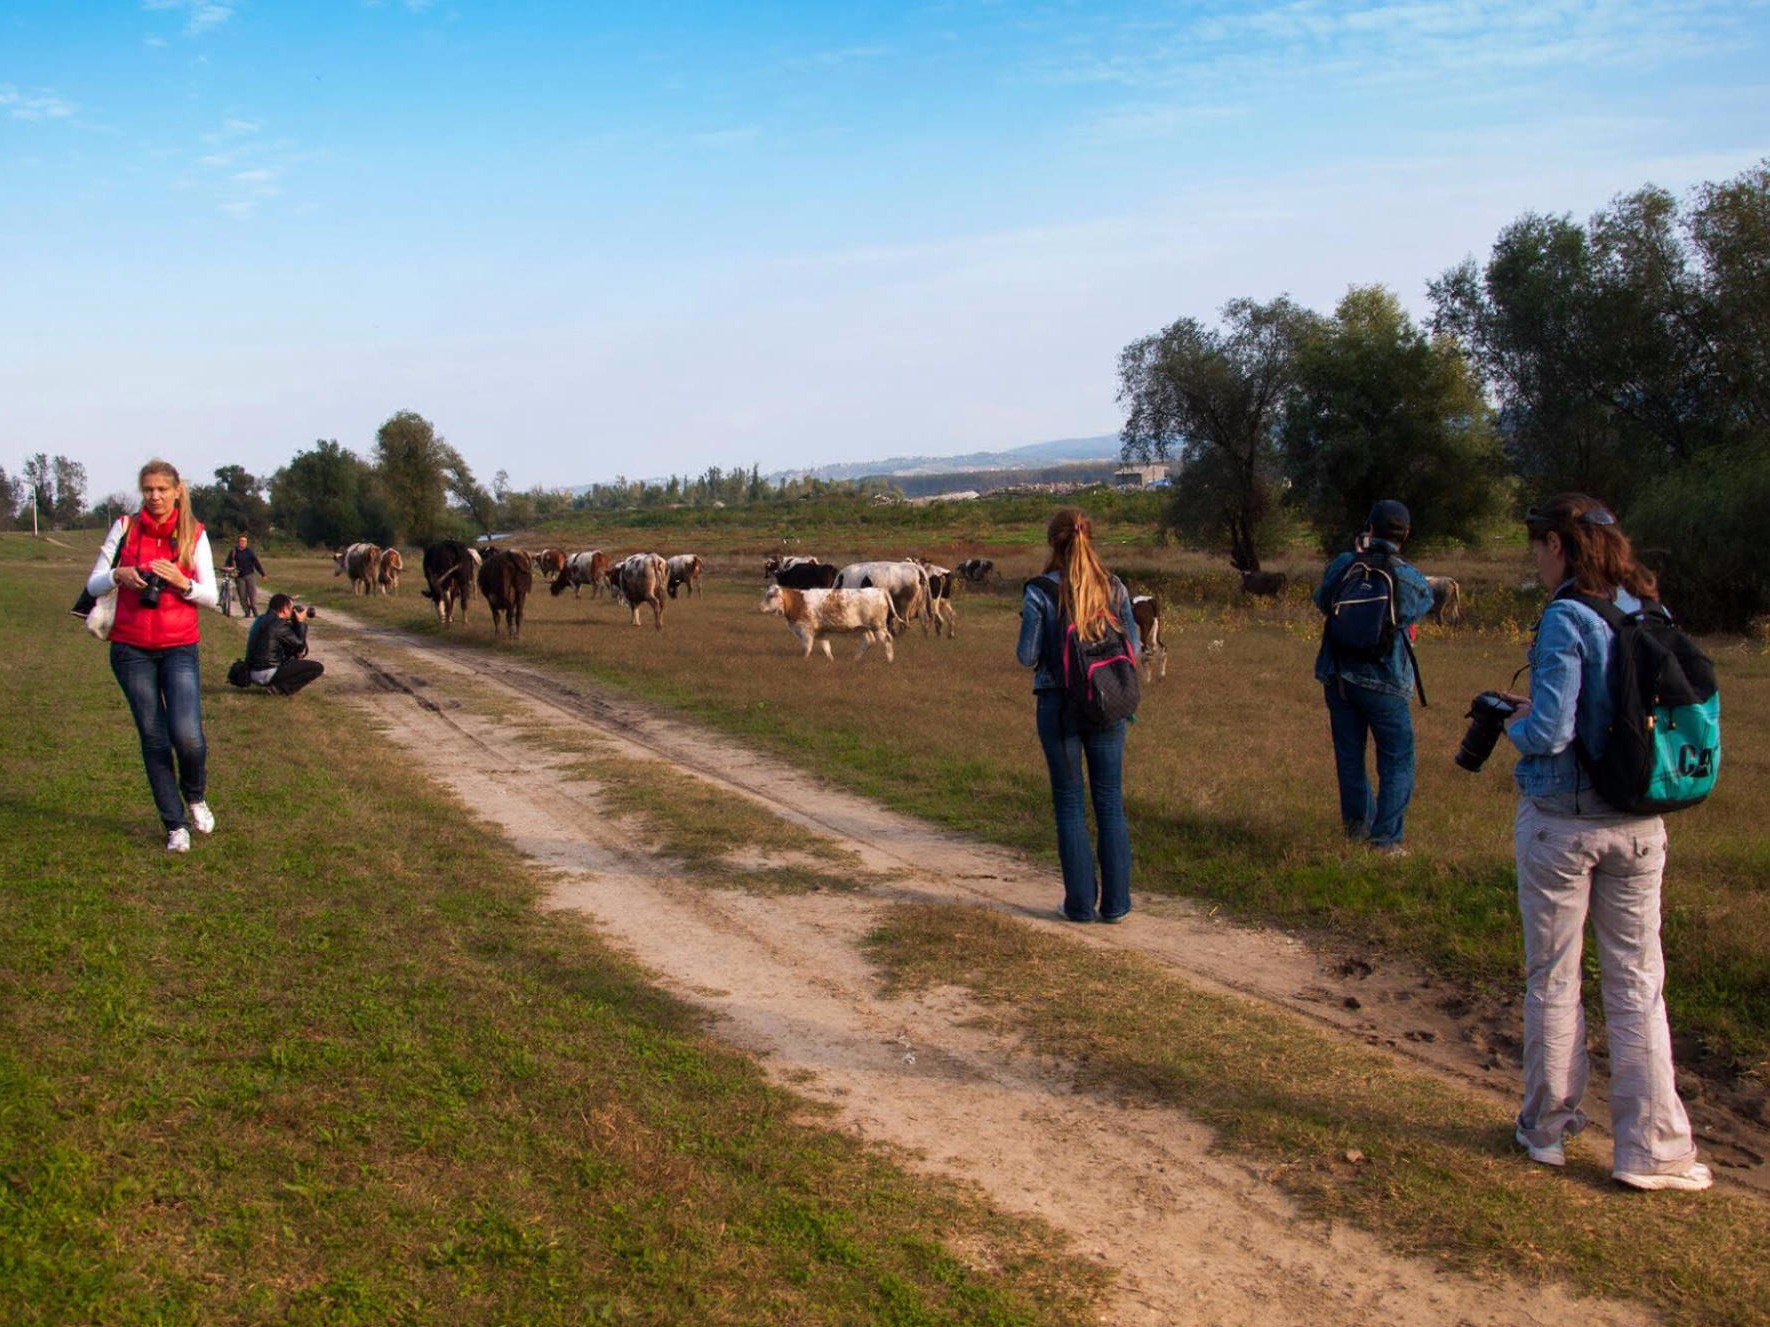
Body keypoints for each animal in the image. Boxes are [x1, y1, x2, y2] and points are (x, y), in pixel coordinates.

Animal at [761, 580, 899, 665]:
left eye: (770, 596)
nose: (760, 607)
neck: (798, 602)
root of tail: (879, 590)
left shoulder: (806, 631)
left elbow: (807, 648)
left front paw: (804, 660)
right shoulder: (820, 632)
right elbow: (826, 647)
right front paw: (831, 660)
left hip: (878, 626)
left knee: (887, 639)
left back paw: (890, 660)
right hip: (862, 628)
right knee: (868, 641)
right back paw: (855, 659)